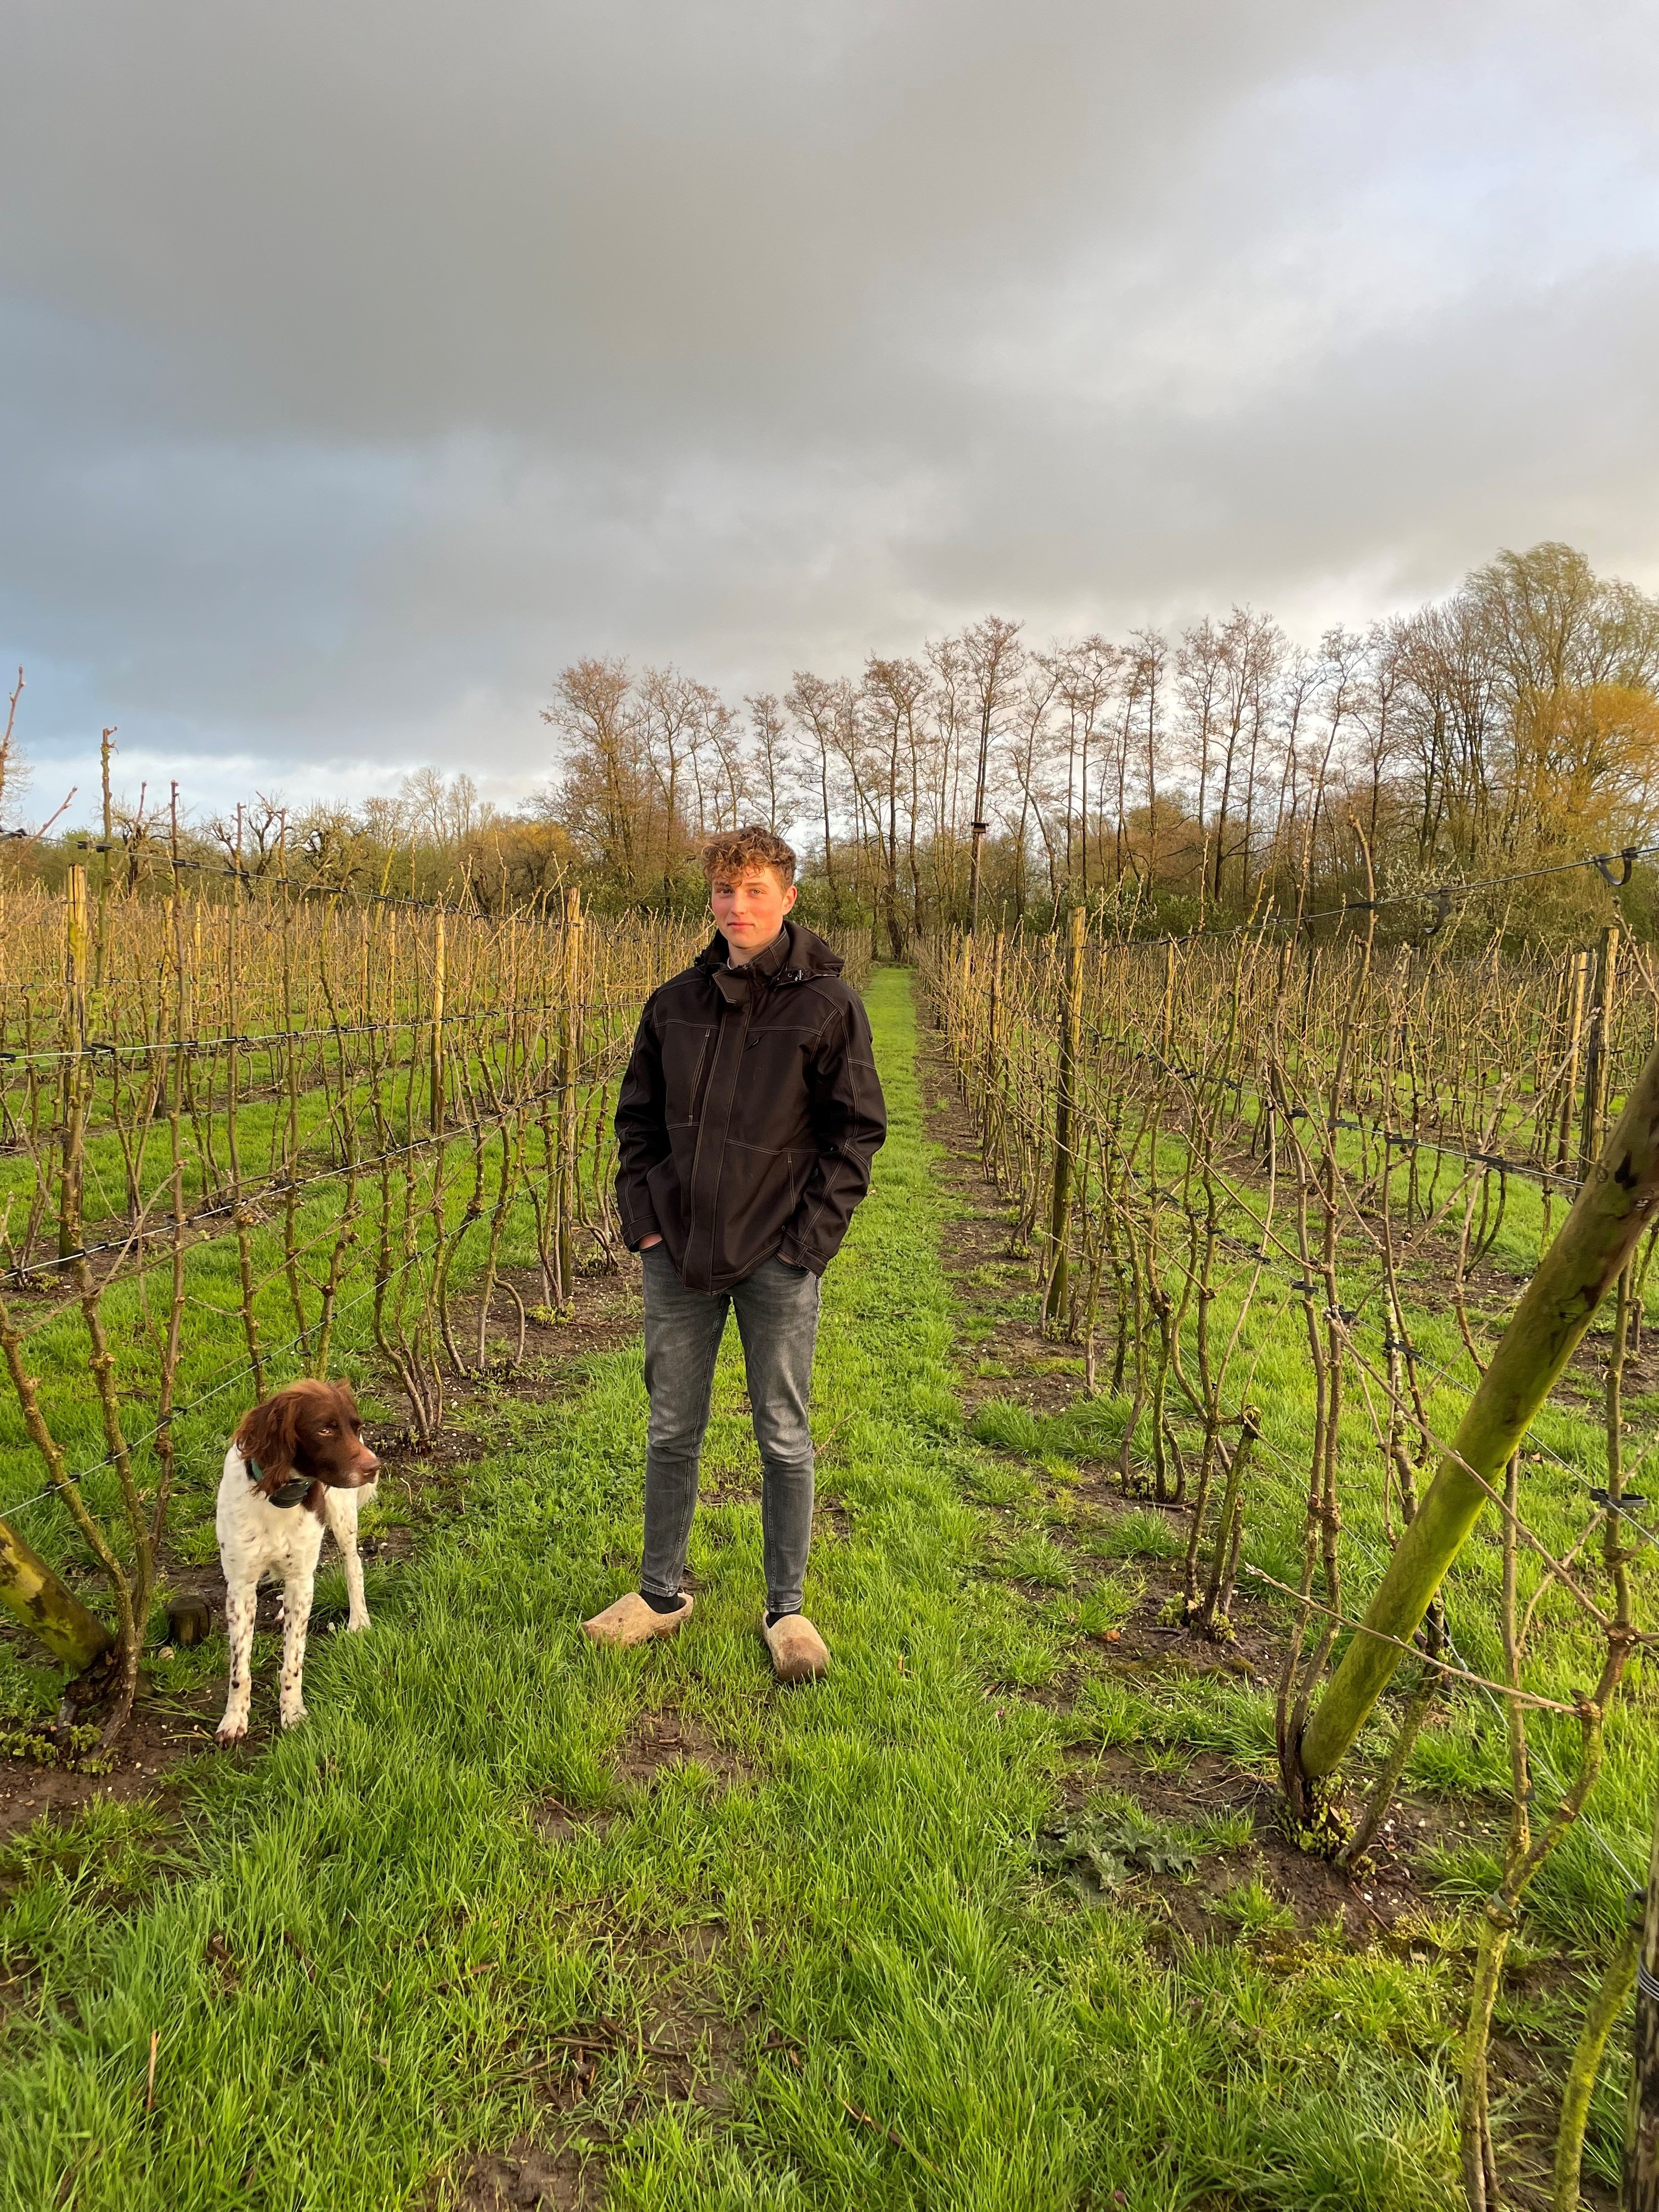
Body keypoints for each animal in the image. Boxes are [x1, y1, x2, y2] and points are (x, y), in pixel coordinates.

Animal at [212, 1380, 382, 1743]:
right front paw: (234, 1719)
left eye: (356, 1427)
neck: (279, 1495)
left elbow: (294, 1659)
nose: (374, 1469)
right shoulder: (240, 1586)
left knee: (354, 1565)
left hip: (342, 1517)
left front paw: (293, 1712)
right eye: (325, 1429)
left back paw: (359, 1620)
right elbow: (239, 1668)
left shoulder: (303, 1579)